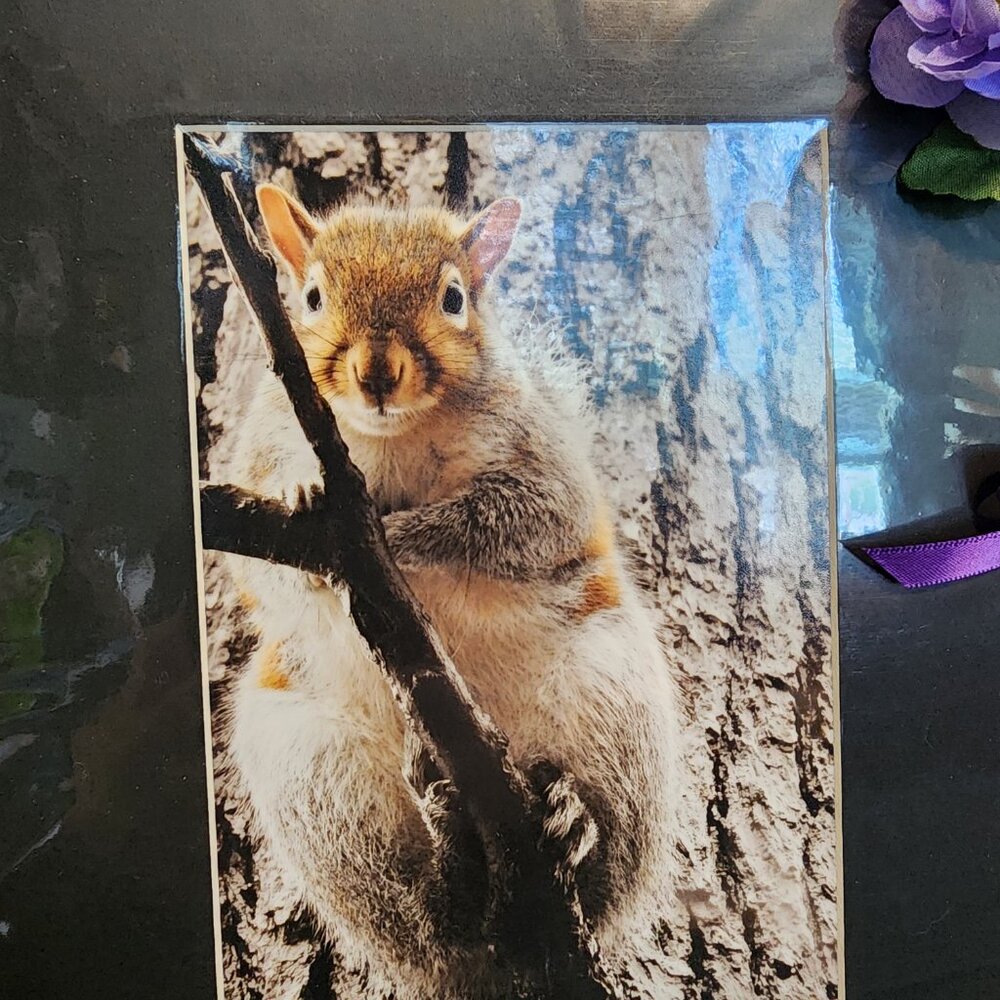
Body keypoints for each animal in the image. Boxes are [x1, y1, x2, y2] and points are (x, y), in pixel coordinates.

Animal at [220, 182, 678, 999]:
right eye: (311, 297)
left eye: (454, 298)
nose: (376, 372)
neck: (390, 437)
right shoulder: (261, 453)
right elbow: (261, 564)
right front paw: (308, 493)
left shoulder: (540, 462)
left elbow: (522, 518)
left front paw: (399, 534)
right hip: (315, 779)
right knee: (423, 921)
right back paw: (451, 868)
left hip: (614, 700)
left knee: (603, 875)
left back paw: (574, 826)